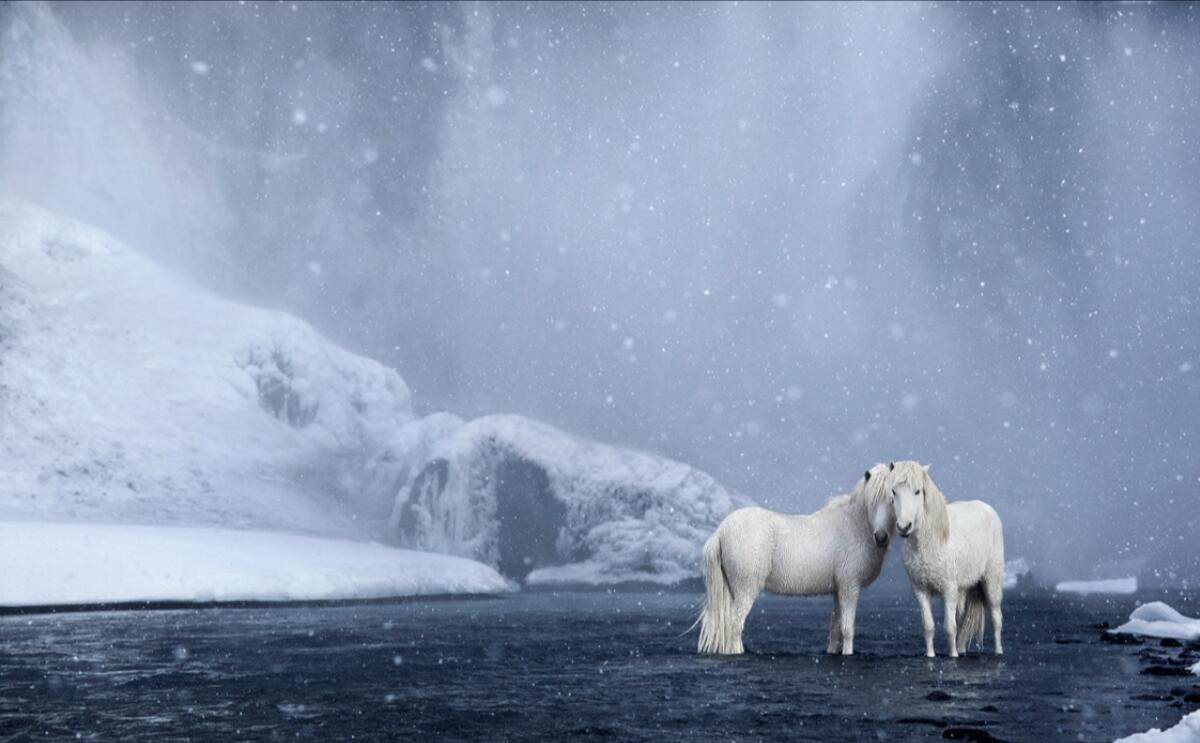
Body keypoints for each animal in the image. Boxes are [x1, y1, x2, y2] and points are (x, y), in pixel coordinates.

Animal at [694, 463, 895, 655]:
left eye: (893, 499)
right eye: (872, 501)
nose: (881, 537)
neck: (854, 525)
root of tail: (720, 531)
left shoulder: (838, 590)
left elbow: (835, 627)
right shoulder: (850, 586)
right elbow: (847, 629)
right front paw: (848, 654)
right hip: (745, 588)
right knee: (735, 624)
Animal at [885, 460, 1004, 657]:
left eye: (917, 491)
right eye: (894, 491)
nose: (904, 527)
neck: (930, 543)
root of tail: (988, 509)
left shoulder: (949, 591)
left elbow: (950, 627)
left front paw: (953, 656)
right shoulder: (920, 591)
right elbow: (928, 626)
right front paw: (930, 655)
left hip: (991, 580)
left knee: (996, 617)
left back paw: (998, 651)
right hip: (964, 588)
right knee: (964, 618)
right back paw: (962, 649)